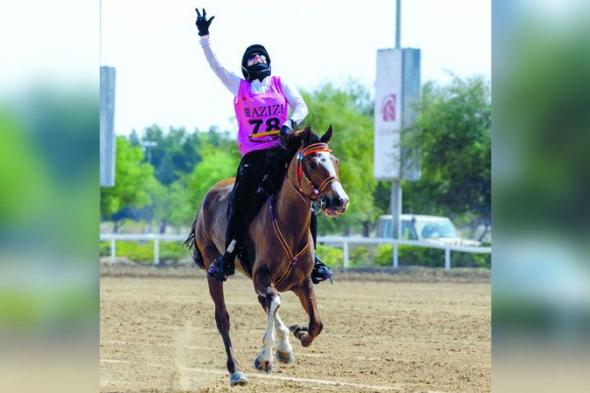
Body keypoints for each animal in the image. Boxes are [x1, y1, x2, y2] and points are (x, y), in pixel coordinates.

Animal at [186, 126, 352, 386]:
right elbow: (275, 302)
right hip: (214, 271)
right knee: (223, 318)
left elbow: (316, 322)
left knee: (263, 303)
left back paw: (285, 346)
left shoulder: (302, 282)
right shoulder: (262, 277)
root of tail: (209, 195)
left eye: (335, 161)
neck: (288, 224)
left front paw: (299, 334)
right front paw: (265, 357)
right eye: (312, 163)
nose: (340, 200)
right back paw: (236, 371)